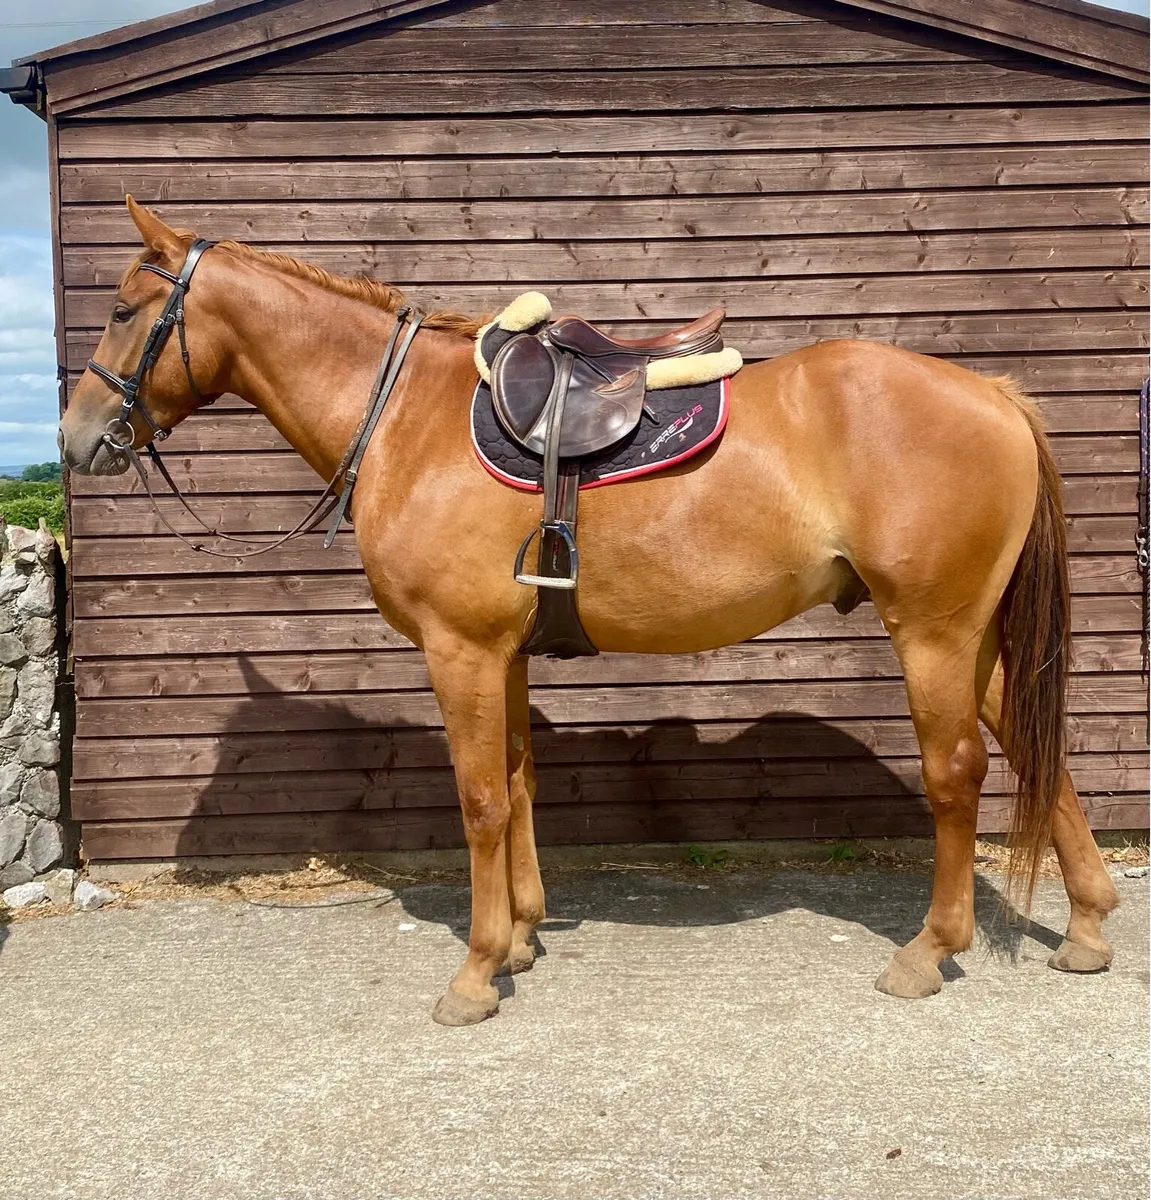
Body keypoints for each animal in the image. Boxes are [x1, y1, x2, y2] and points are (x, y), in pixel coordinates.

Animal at [59, 198, 1119, 1026]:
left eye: (121, 310)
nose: (76, 440)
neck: (406, 415)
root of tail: (992, 393)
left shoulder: (460, 648)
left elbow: (480, 800)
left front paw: (476, 972)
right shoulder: (505, 651)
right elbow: (519, 783)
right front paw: (522, 937)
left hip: (932, 631)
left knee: (956, 771)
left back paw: (929, 950)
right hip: (974, 637)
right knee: (1036, 749)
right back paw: (1087, 926)